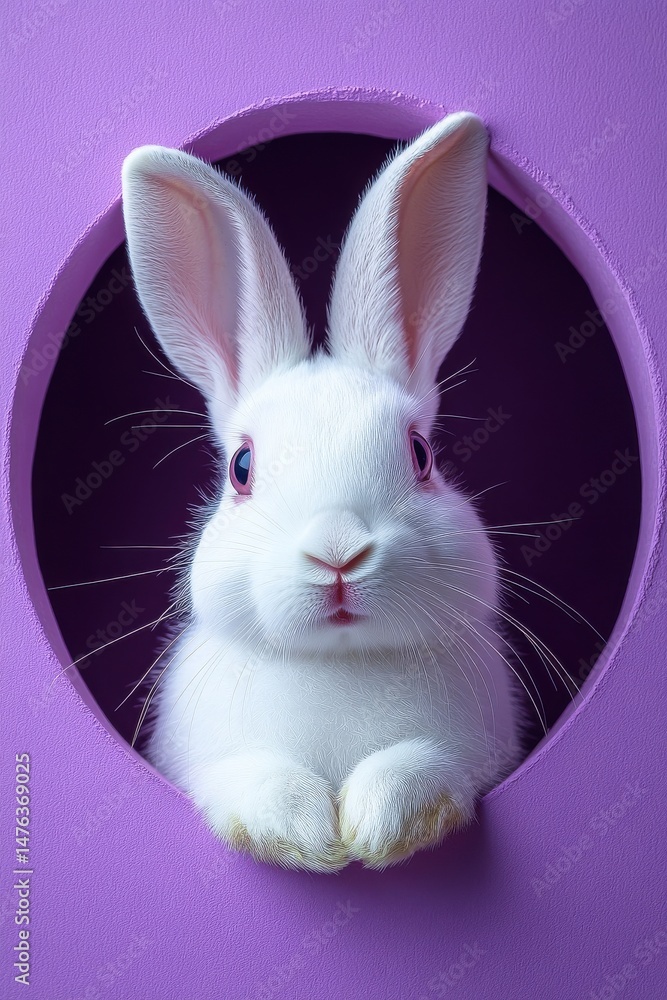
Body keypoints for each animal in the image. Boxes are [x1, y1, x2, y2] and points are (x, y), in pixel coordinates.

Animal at [121, 111, 524, 872]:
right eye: (242, 468)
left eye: (421, 454)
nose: (337, 554)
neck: (339, 663)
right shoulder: (211, 765)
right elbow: (255, 782)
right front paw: (306, 832)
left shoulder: (473, 753)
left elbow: (421, 767)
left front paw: (377, 825)